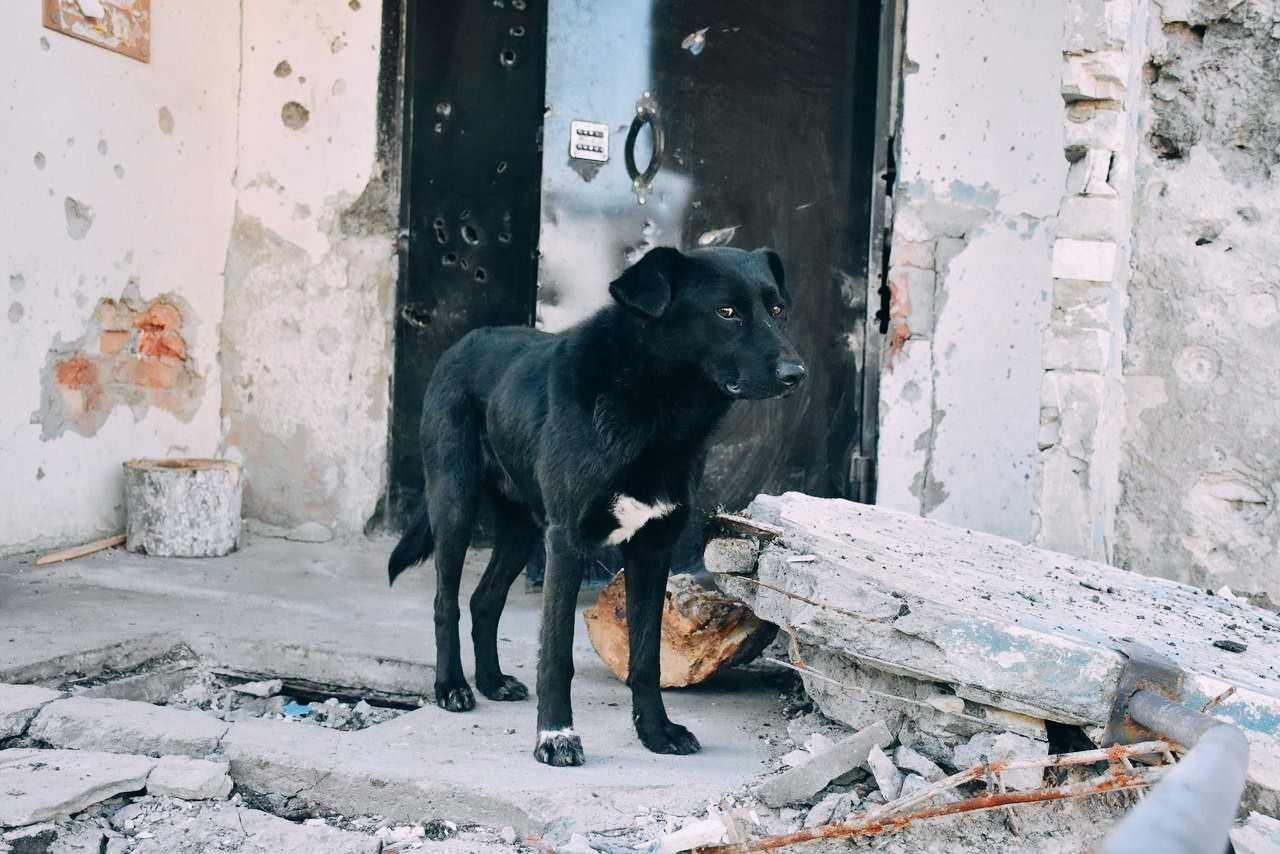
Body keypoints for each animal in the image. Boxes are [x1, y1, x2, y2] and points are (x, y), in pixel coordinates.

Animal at [384, 243, 803, 763]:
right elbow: (556, 652)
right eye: (726, 312)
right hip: (455, 502)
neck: (654, 405)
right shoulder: (567, 542)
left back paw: (492, 681)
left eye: (777, 310)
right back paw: (452, 687)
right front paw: (555, 736)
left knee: (484, 600)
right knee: (447, 601)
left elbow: (646, 656)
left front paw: (657, 733)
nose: (796, 374)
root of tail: (462, 343)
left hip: (524, 529)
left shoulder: (652, 547)